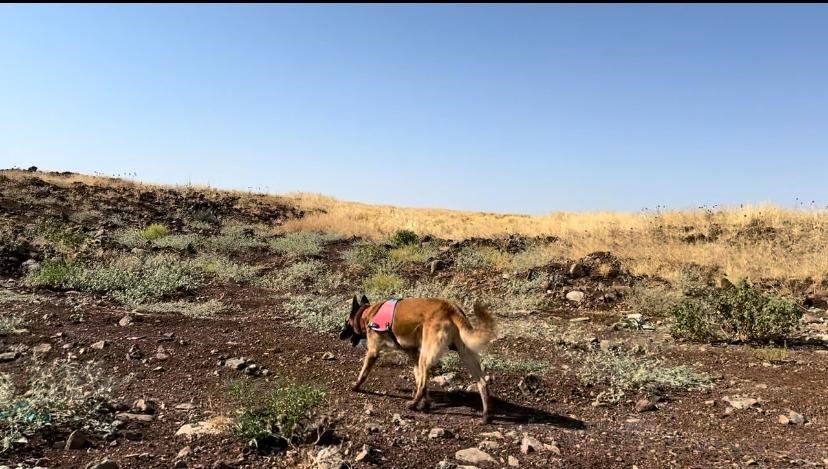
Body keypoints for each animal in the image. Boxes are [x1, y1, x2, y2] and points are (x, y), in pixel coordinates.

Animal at [340, 294, 494, 422]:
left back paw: (413, 405)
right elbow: (419, 378)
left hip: (426, 358)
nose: (340, 335)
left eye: (347, 322)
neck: (368, 314)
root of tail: (451, 308)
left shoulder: (373, 352)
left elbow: (363, 373)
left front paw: (355, 386)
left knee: (423, 383)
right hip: (464, 355)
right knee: (482, 383)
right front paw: (426, 403)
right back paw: (486, 415)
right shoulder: (413, 355)